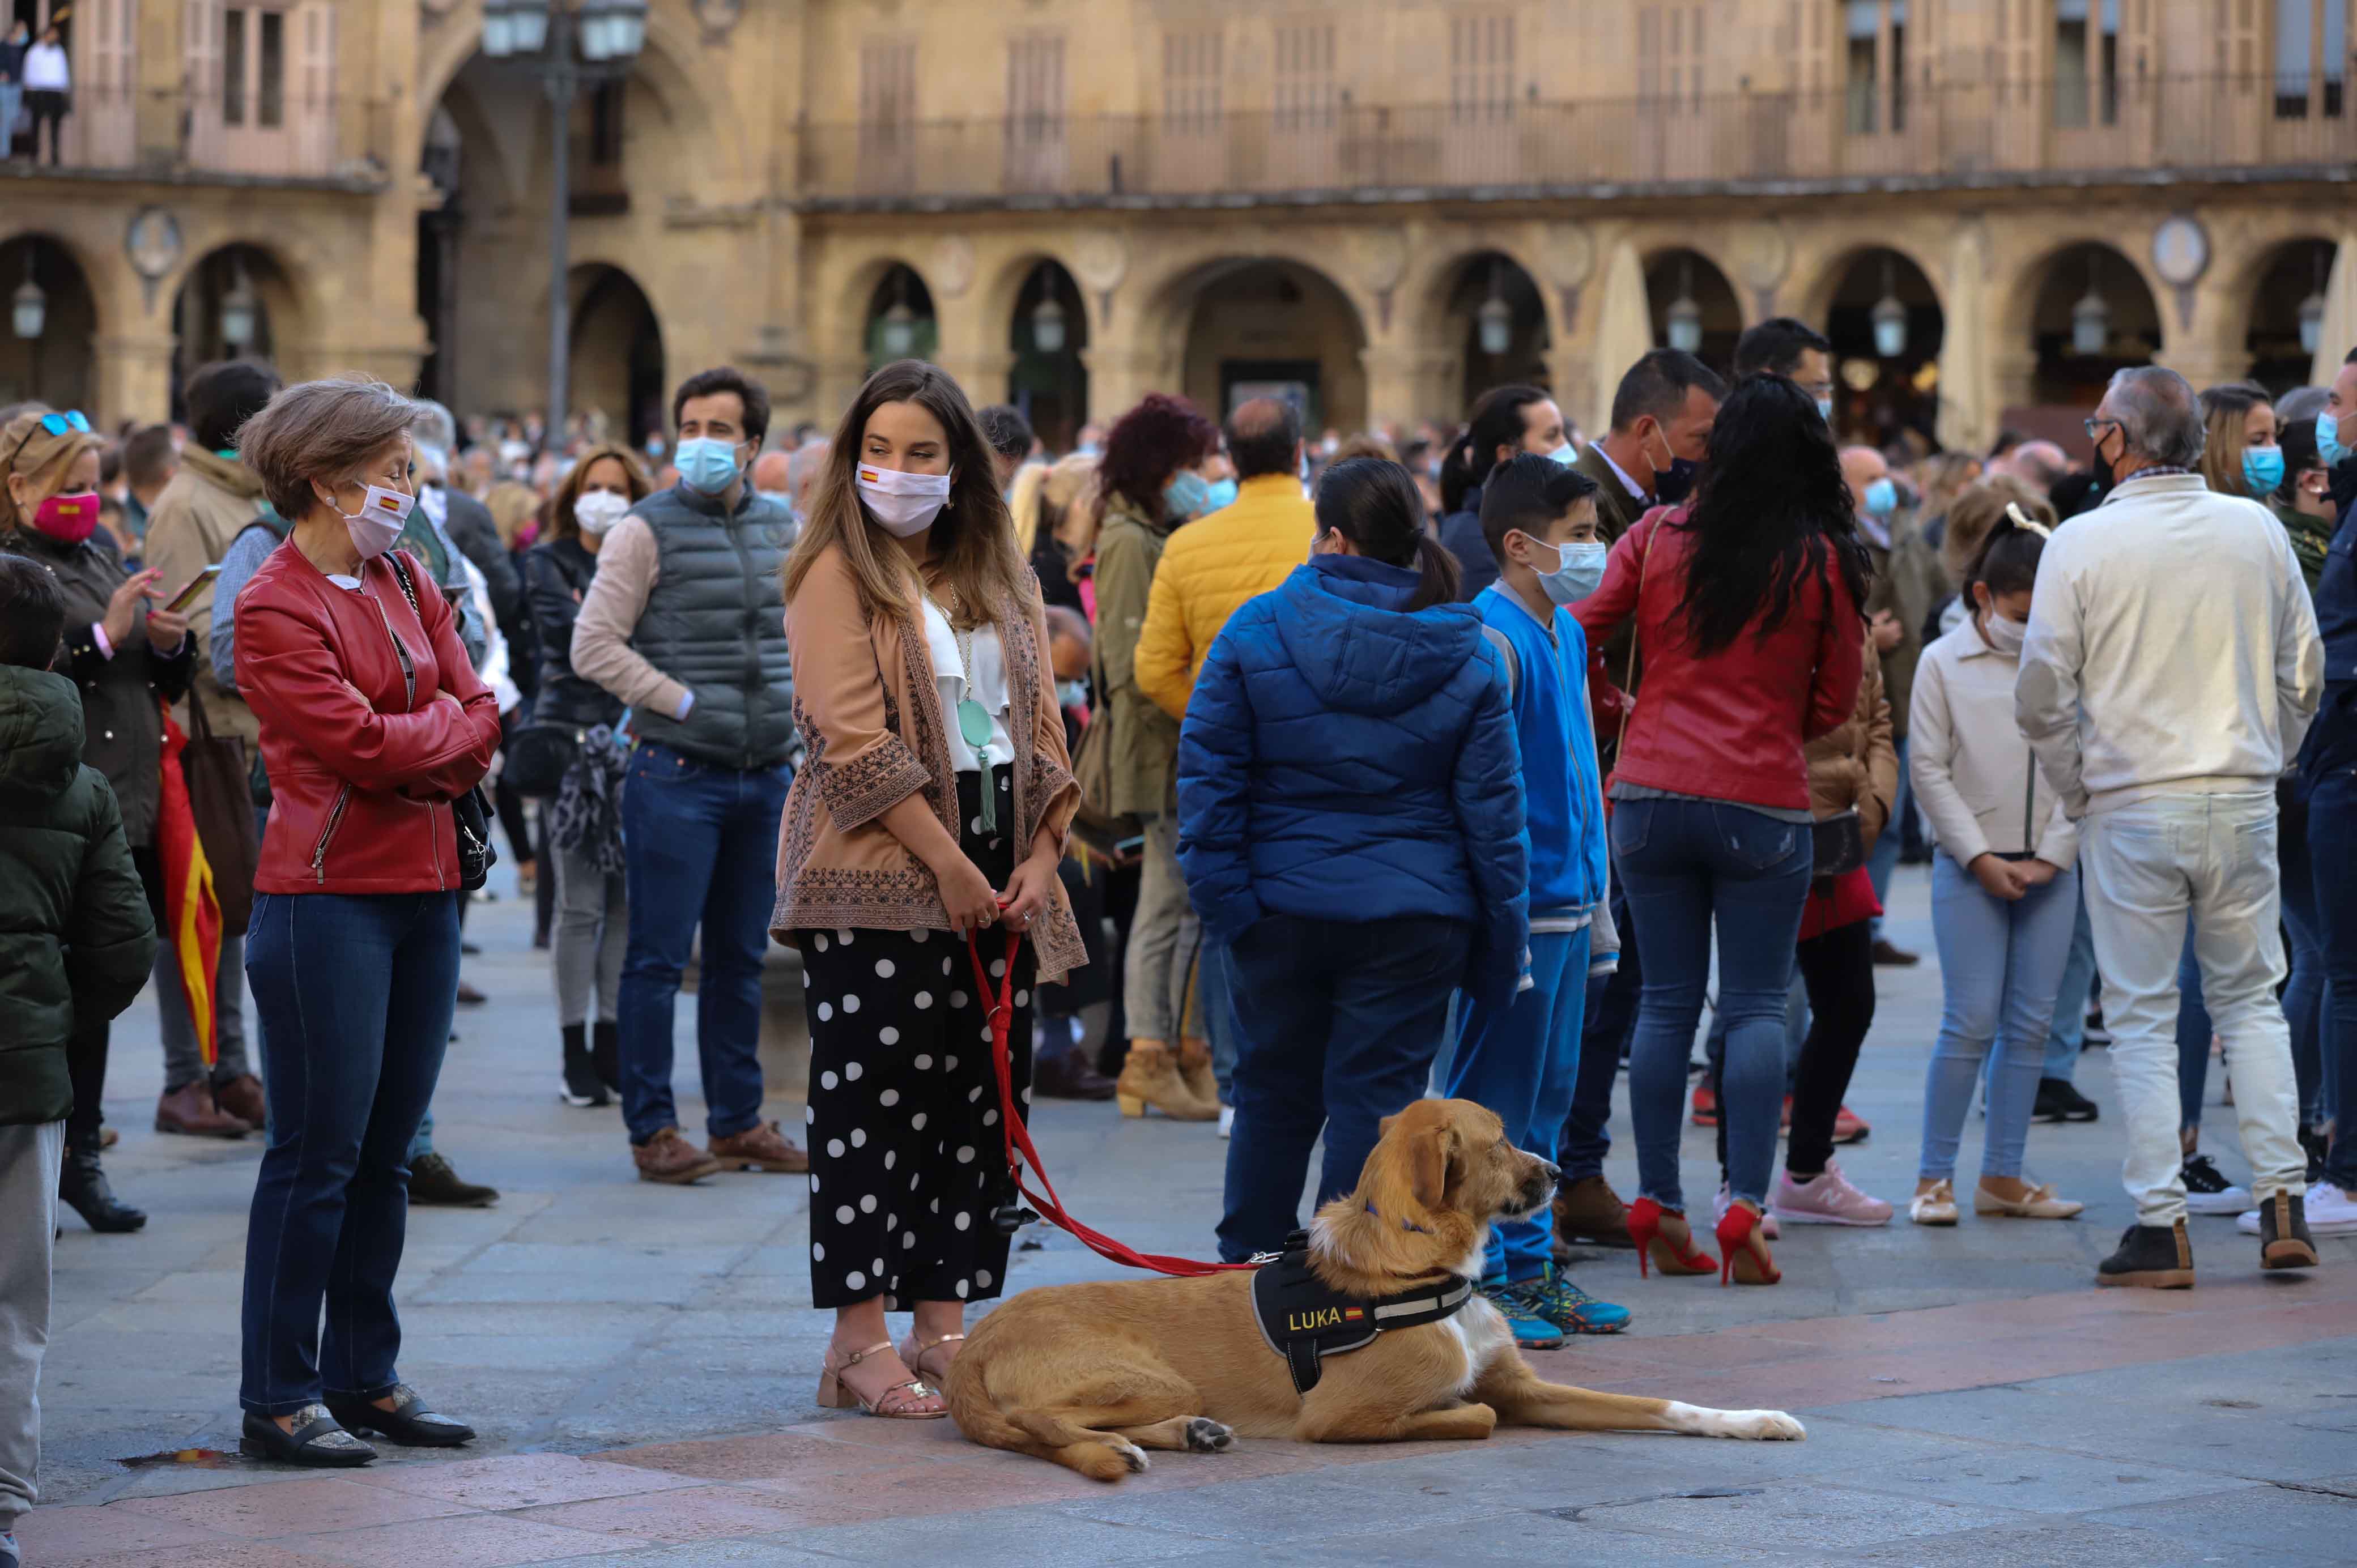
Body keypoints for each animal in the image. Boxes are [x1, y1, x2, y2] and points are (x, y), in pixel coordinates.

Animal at [943, 1094, 1801, 1471]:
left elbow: (1659, 1403)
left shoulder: (1530, 1387)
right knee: (1040, 1424)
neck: (1420, 1265)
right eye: (1499, 1141)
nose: (1560, 1172)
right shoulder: (1341, 1416)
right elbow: (1478, 1413)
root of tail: (970, 1346)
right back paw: (1121, 1444)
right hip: (1148, 1376)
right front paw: (1454, 1412)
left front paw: (1753, 1419)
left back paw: (1192, 1434)